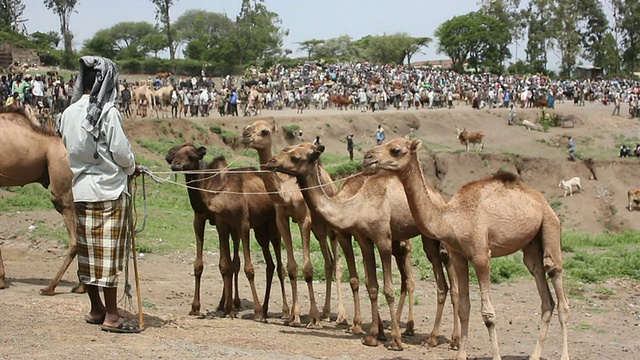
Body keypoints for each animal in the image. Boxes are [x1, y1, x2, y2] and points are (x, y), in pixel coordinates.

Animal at [165, 142, 288, 320]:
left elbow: (247, 268)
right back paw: (261, 308)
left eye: (192, 156)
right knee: (268, 264)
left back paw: (283, 311)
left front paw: (254, 311)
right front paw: (200, 308)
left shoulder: (242, 224)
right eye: (175, 153)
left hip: (271, 224)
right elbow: (220, 265)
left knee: (279, 264)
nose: (174, 163)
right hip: (259, 228)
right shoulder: (214, 222)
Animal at [241, 119, 340, 328]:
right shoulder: (282, 219)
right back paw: (326, 313)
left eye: (264, 131)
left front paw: (313, 318)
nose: (245, 136)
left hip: (329, 226)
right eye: (247, 126)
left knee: (336, 262)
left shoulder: (304, 219)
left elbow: (307, 269)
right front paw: (294, 317)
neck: (287, 193)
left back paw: (339, 316)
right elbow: (292, 267)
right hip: (319, 228)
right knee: (328, 262)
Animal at [268, 143, 462, 352]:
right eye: (287, 150)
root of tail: (438, 196)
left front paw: (395, 340)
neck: (355, 206)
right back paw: (432, 338)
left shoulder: (383, 239)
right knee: (438, 283)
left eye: (296, 157)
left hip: (434, 236)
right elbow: (371, 285)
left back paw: (451, 339)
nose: (271, 161)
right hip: (419, 239)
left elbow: (388, 290)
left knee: (447, 274)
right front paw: (372, 336)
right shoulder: (364, 239)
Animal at [360, 137, 568, 360]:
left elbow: (488, 314)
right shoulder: (459, 256)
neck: (450, 218)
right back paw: (534, 355)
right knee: (545, 294)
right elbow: (464, 307)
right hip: (531, 245)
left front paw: (495, 356)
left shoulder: (481, 256)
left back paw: (564, 355)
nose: (368, 157)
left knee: (557, 284)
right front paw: (460, 354)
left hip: (550, 224)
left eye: (396, 150)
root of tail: (542, 200)